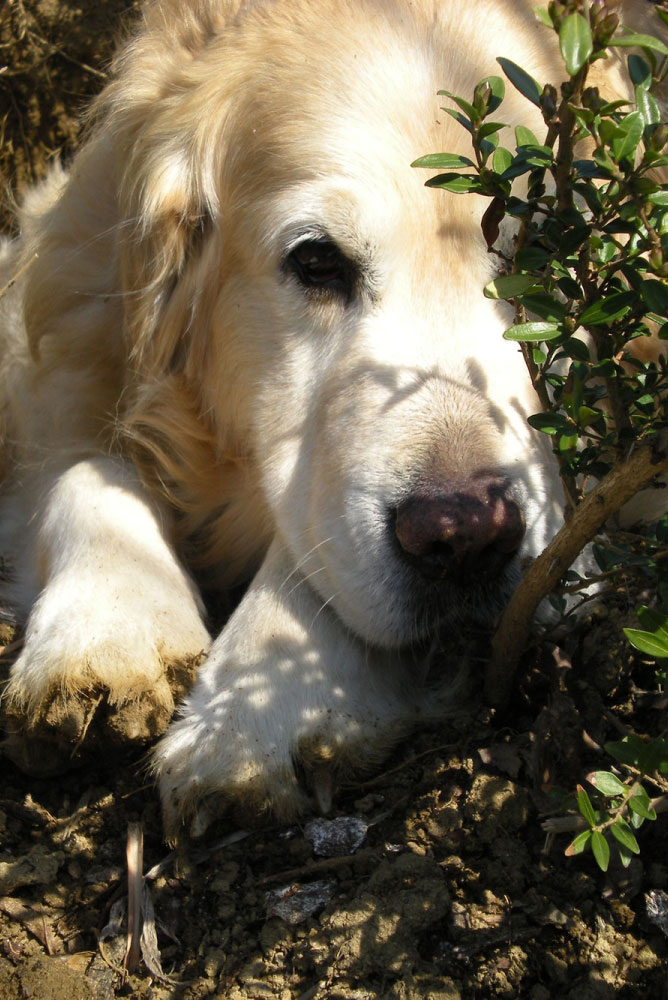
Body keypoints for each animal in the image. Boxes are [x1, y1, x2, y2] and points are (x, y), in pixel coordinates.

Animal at [0, 1, 664, 836]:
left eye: (547, 259)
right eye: (317, 262)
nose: (467, 539)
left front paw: (262, 704)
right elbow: (84, 466)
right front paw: (106, 624)